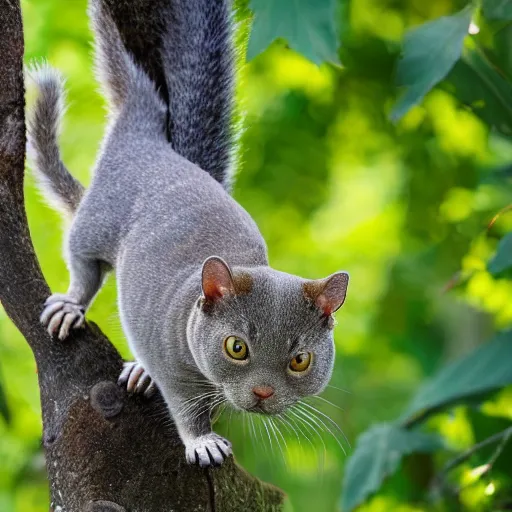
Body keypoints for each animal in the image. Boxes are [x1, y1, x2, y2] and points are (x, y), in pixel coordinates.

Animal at [27, 0, 348, 468]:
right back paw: (71, 307)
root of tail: (146, 133)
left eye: (301, 360)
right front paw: (203, 440)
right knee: (84, 269)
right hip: (96, 223)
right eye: (236, 347)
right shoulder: (172, 365)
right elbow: (185, 407)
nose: (263, 392)